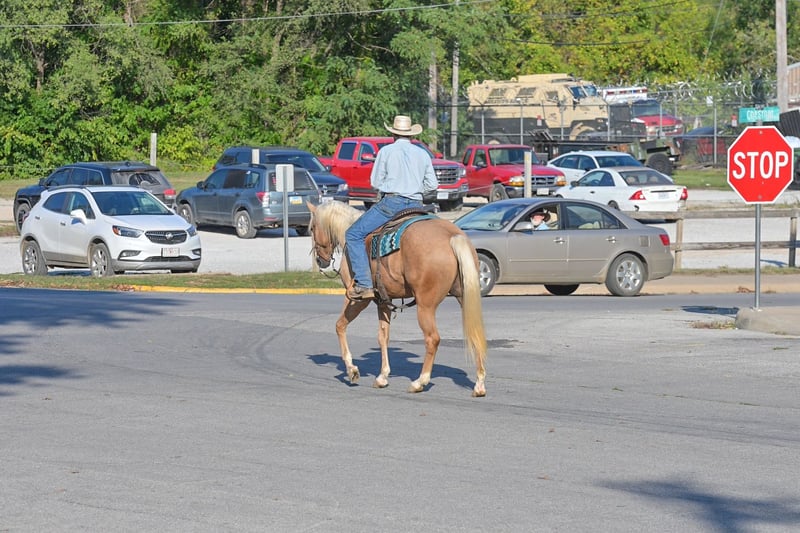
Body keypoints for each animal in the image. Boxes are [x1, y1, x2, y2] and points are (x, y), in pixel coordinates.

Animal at [307, 201, 487, 397]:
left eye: (312, 228)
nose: (320, 260)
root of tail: (452, 236)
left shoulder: (358, 299)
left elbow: (340, 326)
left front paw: (352, 370)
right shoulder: (383, 301)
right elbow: (383, 337)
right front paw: (382, 376)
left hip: (425, 306)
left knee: (432, 339)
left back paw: (420, 382)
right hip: (464, 298)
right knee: (476, 334)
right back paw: (479, 385)